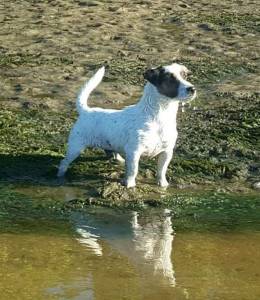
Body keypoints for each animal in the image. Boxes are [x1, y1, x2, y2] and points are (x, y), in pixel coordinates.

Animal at [57, 63, 195, 188]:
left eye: (184, 76)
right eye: (170, 79)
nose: (192, 89)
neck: (159, 116)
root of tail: (86, 111)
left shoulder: (166, 152)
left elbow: (161, 170)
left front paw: (163, 185)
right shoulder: (134, 152)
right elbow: (133, 171)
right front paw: (130, 185)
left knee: (110, 152)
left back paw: (118, 159)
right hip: (75, 148)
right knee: (64, 162)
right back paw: (60, 176)